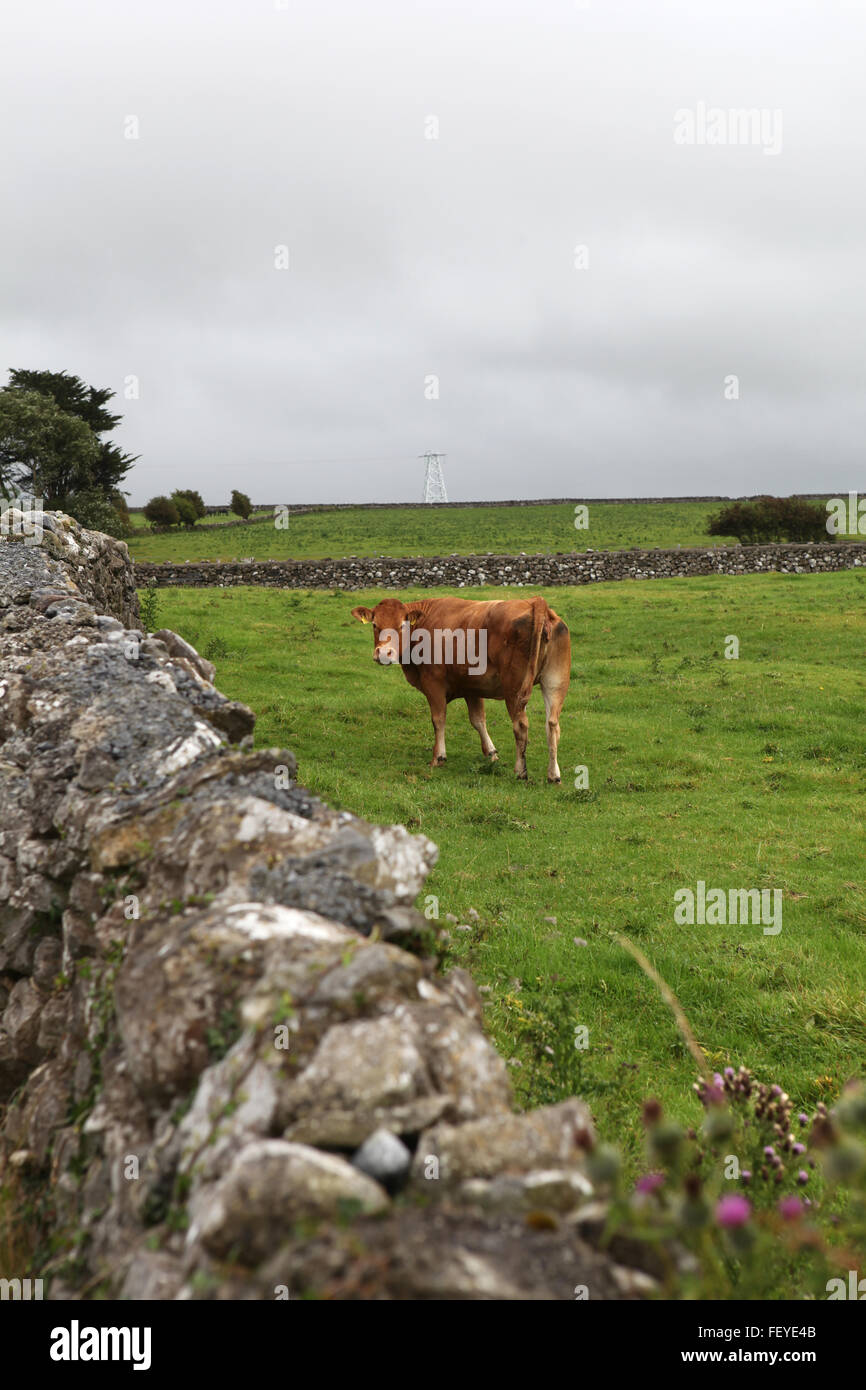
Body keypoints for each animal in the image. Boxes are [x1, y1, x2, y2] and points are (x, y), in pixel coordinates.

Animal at [348, 592, 572, 778]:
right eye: (374, 624)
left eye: (402, 625)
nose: (384, 654)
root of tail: (535, 602)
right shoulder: (472, 686)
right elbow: (478, 720)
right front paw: (491, 753)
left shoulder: (433, 682)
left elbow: (438, 719)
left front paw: (438, 757)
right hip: (555, 682)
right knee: (552, 724)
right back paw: (553, 774)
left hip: (514, 689)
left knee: (521, 725)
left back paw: (520, 771)